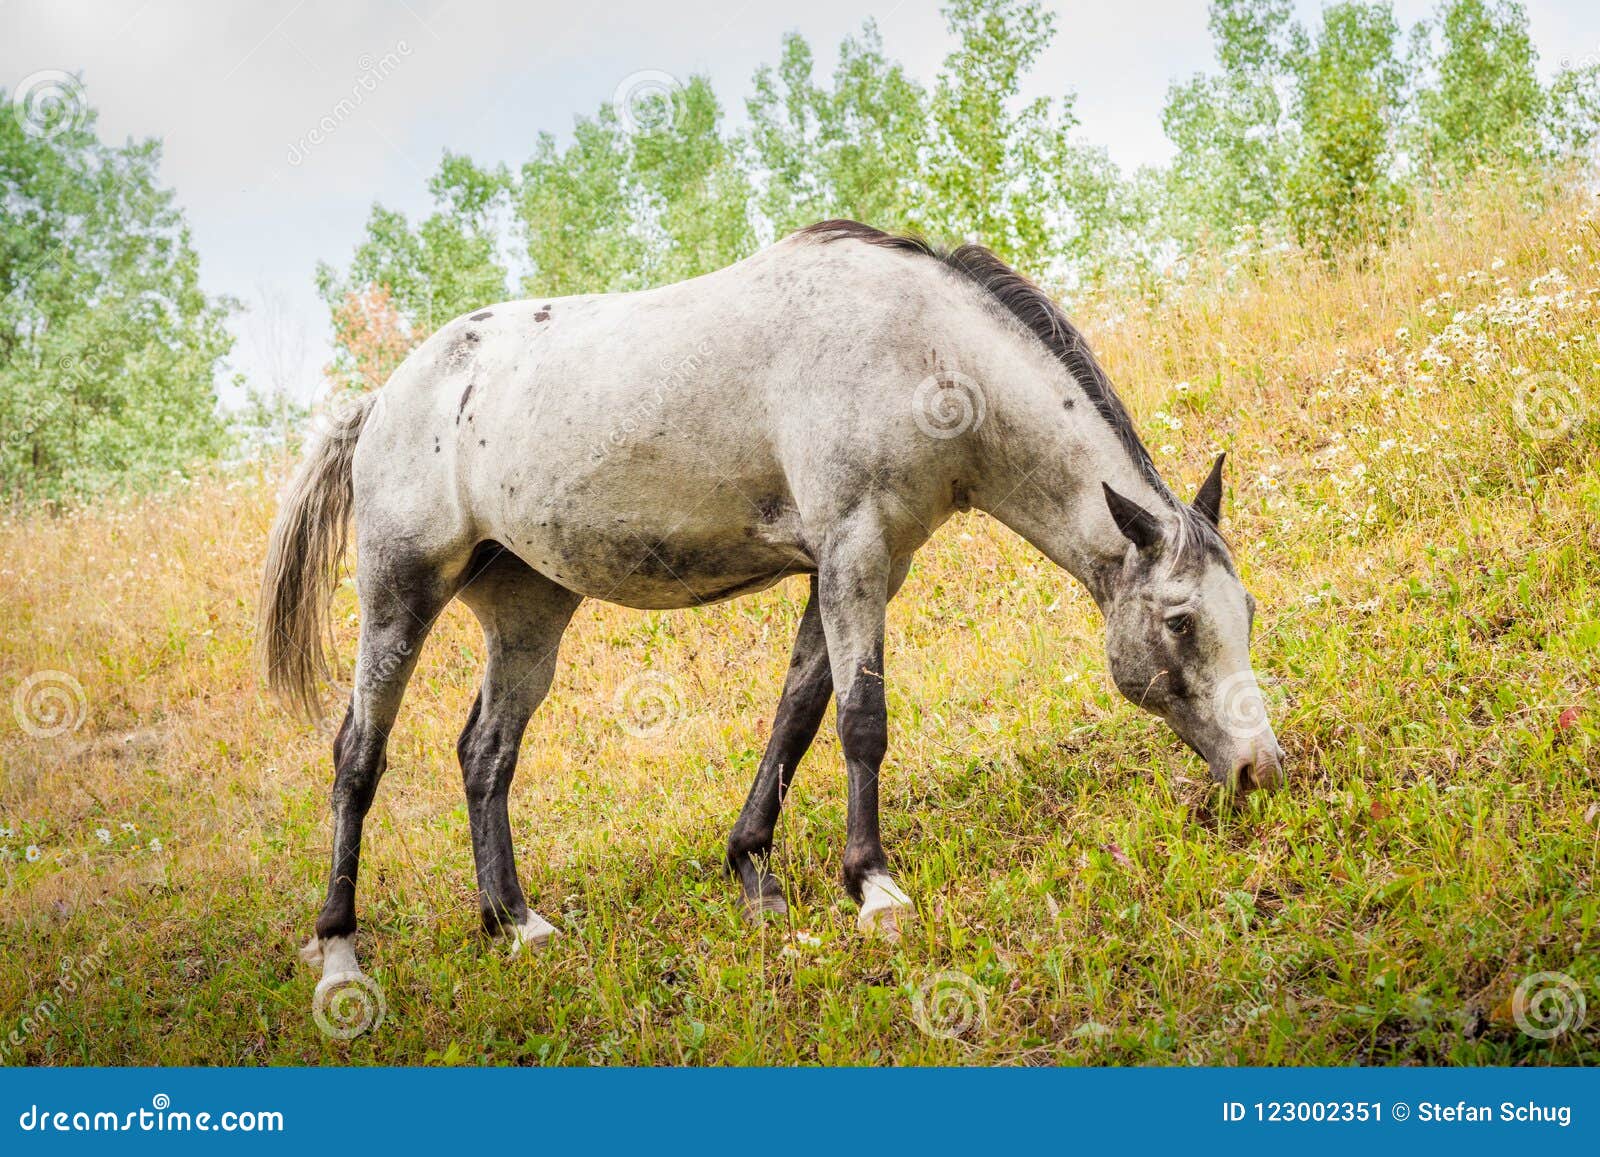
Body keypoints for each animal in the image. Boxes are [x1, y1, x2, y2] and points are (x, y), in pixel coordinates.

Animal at [262, 214, 1286, 979]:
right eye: (1180, 621)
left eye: (1243, 615)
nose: (1261, 769)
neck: (922, 350)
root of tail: (382, 400)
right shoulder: (853, 552)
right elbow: (861, 720)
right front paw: (873, 886)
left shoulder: (861, 564)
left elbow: (798, 711)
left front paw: (753, 869)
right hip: (399, 594)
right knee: (358, 758)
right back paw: (340, 951)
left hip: (529, 610)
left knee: (485, 754)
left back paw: (517, 922)